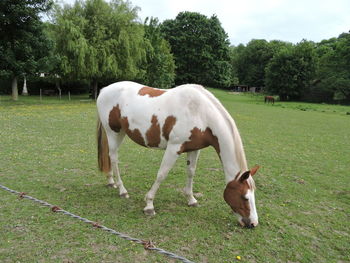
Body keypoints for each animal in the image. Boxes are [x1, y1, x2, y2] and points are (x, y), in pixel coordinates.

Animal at [96, 81, 260, 228]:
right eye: (244, 197)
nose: (253, 223)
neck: (200, 113)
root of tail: (104, 89)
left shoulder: (194, 149)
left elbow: (191, 172)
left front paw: (191, 199)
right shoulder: (174, 148)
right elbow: (162, 174)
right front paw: (149, 205)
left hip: (120, 133)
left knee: (109, 157)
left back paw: (111, 182)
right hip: (113, 132)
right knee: (114, 158)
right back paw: (122, 190)